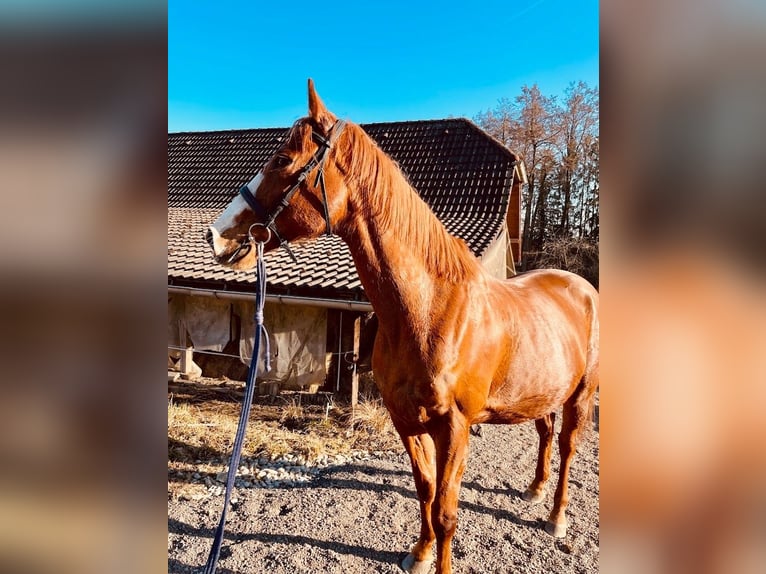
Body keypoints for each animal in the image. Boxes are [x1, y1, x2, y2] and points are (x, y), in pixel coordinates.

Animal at [206, 80, 599, 574]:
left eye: (281, 159)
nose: (216, 236)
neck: (429, 313)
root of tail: (580, 286)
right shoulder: (406, 420)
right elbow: (425, 491)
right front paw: (420, 553)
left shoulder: (454, 428)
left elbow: (447, 511)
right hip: (540, 391)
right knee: (546, 433)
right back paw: (534, 490)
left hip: (581, 394)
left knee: (567, 447)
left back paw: (557, 517)